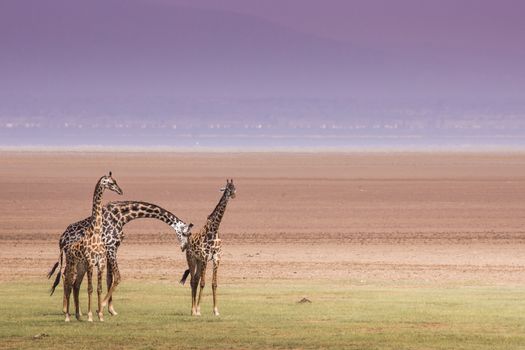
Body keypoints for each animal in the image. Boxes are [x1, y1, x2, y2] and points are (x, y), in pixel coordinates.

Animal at [48, 201, 192, 316]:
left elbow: (109, 279)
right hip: (73, 258)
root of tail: (62, 239)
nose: (184, 247)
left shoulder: (112, 249)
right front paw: (102, 307)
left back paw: (73, 310)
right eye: (185, 233)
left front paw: (111, 310)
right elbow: (117, 277)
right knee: (67, 276)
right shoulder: (111, 247)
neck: (122, 216)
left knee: (67, 276)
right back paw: (65, 309)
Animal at [59, 172, 123, 322]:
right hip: (72, 265)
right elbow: (90, 288)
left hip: (80, 267)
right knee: (68, 284)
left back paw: (77, 315)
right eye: (111, 183)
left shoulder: (100, 263)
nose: (120, 191)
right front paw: (89, 316)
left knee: (75, 285)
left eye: (115, 181)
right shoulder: (90, 263)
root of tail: (68, 248)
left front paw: (100, 315)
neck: (96, 233)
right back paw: (67, 316)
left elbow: (99, 288)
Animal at [181, 179, 236, 316]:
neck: (214, 229)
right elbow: (203, 283)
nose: (233, 195)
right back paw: (193, 310)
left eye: (234, 187)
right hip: (192, 259)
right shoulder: (205, 257)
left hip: (199, 261)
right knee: (193, 281)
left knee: (195, 279)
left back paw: (194, 309)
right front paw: (199, 310)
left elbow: (214, 284)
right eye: (227, 188)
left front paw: (216, 310)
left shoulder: (216, 258)